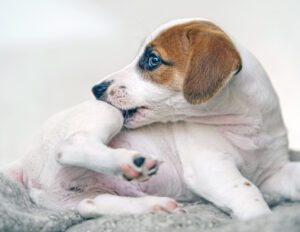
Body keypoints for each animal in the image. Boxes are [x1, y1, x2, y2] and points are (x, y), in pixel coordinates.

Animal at [2, 18, 298, 219]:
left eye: (153, 60)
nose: (96, 89)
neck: (246, 127)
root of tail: (24, 163)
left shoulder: (273, 173)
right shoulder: (210, 167)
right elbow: (247, 192)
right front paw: (262, 220)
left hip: (77, 197)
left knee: (90, 205)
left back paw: (155, 204)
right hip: (106, 114)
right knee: (69, 146)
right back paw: (131, 162)